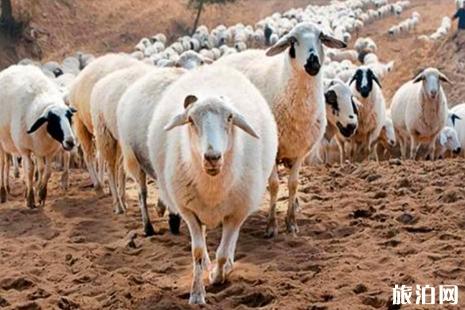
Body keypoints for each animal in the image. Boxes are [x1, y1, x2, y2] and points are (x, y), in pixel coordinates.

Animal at [0, 64, 76, 207]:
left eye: (69, 117)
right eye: (52, 120)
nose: (70, 142)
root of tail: (12, 67)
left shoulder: (47, 150)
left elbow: (46, 171)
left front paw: (41, 193)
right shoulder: (24, 149)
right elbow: (29, 170)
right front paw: (30, 199)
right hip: (2, 142)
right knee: (3, 165)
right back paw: (3, 191)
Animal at [147, 65, 276, 306]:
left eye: (230, 117)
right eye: (190, 120)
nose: (212, 157)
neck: (213, 187)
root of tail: (214, 66)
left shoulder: (237, 213)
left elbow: (224, 251)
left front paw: (218, 276)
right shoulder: (189, 211)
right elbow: (197, 252)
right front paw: (197, 293)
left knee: (230, 241)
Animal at [217, 21, 344, 236]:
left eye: (321, 36)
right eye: (293, 40)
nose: (313, 63)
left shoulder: (300, 150)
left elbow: (293, 184)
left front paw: (291, 222)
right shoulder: (272, 149)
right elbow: (275, 185)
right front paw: (271, 225)